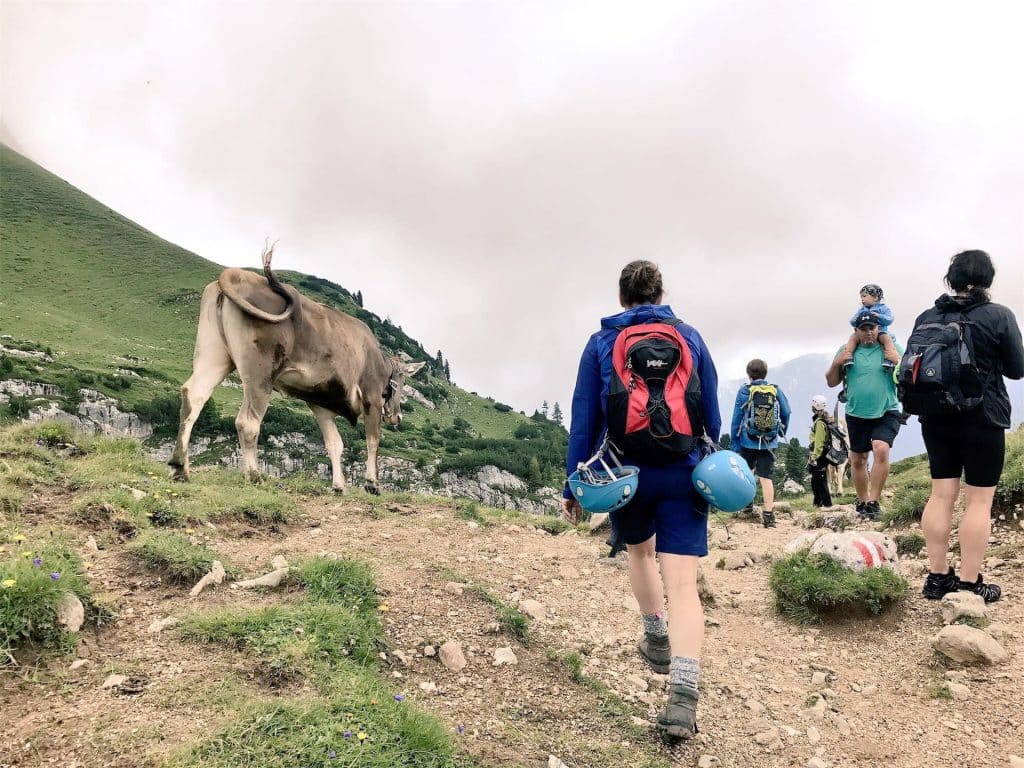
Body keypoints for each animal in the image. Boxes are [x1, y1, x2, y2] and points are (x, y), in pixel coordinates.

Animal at [169, 249, 425, 495]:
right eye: (402, 383)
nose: (398, 417)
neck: (379, 361)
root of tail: (235, 275)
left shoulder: (320, 403)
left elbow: (335, 444)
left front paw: (339, 486)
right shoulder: (371, 395)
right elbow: (373, 440)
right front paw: (372, 484)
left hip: (214, 354)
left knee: (194, 395)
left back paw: (179, 468)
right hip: (260, 371)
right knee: (247, 421)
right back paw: (254, 476)